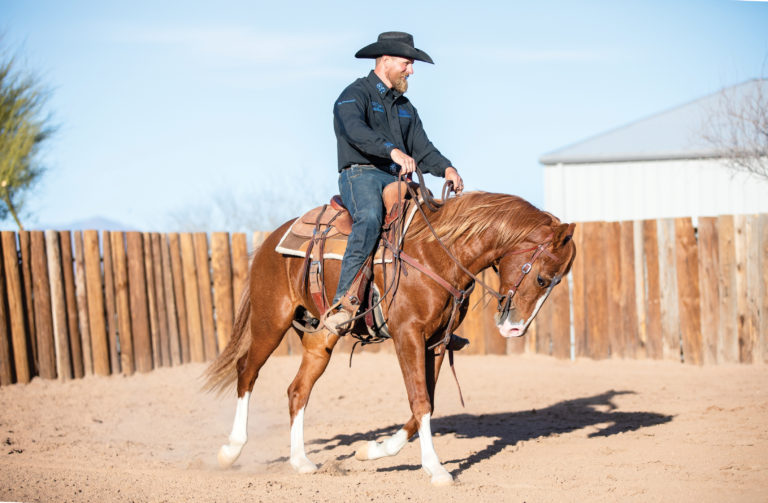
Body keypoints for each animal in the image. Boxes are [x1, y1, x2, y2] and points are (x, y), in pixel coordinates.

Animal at [204, 190, 576, 486]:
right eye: (543, 279)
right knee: (246, 371)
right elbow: (420, 400)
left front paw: (373, 450)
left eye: (556, 282)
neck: (437, 251)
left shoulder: (436, 342)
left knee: (298, 390)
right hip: (270, 321)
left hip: (321, 339)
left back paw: (301, 461)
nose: (516, 329)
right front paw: (436, 469)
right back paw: (230, 451)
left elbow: (425, 404)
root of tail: (270, 241)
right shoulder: (407, 334)